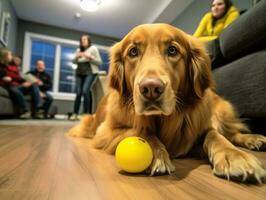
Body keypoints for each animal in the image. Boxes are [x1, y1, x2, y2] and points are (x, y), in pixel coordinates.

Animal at [68, 23, 266, 183]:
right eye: (133, 52)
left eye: (172, 50)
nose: (151, 88)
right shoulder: (106, 131)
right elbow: (140, 130)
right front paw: (156, 154)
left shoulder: (199, 127)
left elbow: (215, 135)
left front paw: (235, 156)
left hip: (220, 112)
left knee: (230, 132)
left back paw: (254, 139)